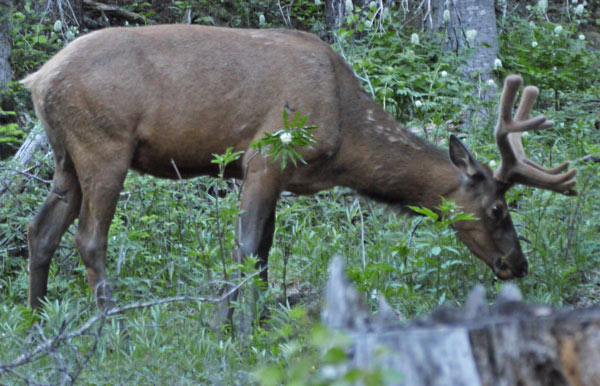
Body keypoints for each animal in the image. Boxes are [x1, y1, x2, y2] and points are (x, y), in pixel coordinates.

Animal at [22, 25, 576, 312]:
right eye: (500, 207)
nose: (518, 265)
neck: (346, 143)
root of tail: (37, 78)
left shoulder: (277, 176)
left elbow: (264, 253)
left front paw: (262, 320)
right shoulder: (264, 157)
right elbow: (246, 250)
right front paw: (236, 328)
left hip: (65, 157)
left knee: (40, 231)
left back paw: (37, 317)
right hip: (104, 146)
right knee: (89, 238)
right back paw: (107, 321)